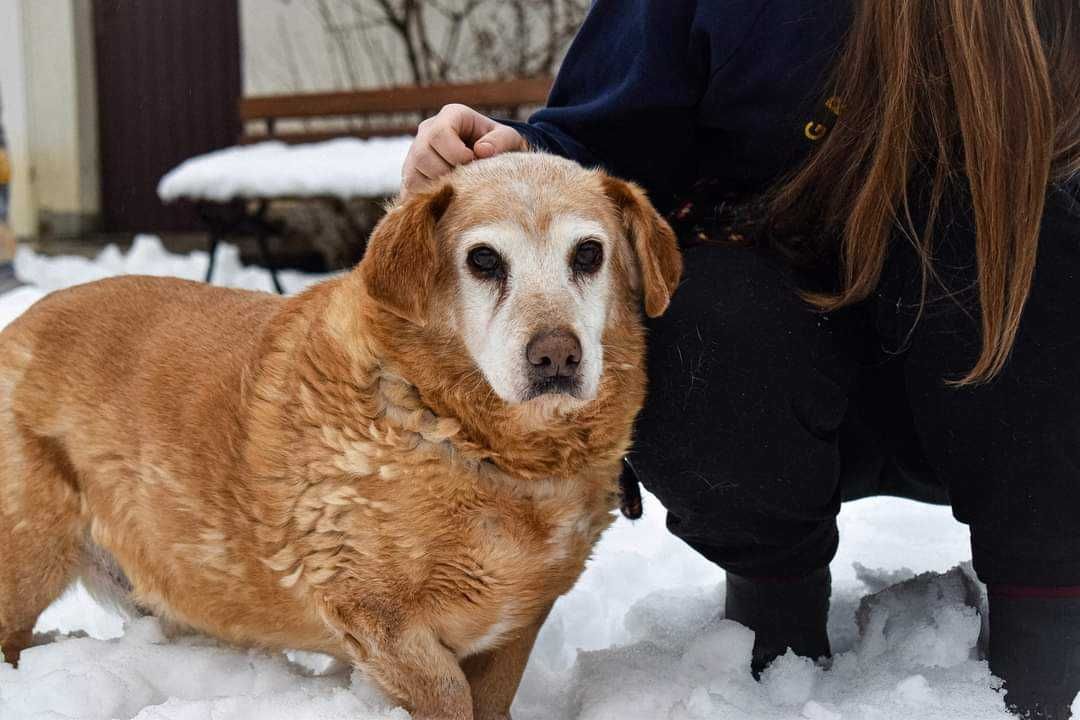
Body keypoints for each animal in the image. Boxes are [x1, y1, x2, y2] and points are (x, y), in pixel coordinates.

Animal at [0, 153, 678, 720]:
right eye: (483, 260)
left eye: (588, 254)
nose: (557, 356)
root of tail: (19, 324)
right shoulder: (382, 620)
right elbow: (448, 698)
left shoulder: (517, 625)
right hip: (28, 556)